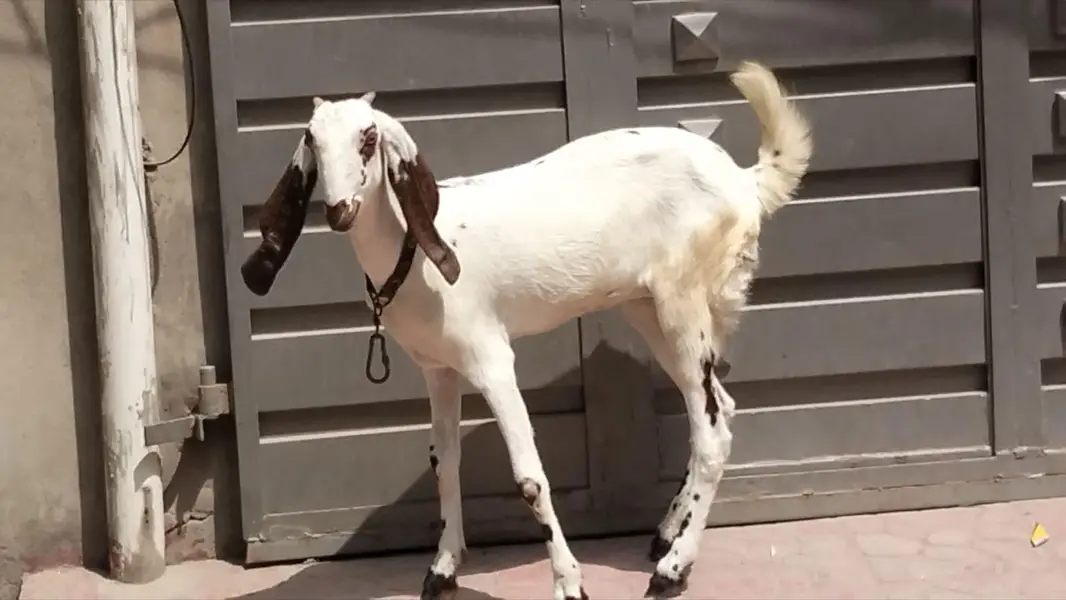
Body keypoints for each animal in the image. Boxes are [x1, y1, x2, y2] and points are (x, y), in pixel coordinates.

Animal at [241, 61, 812, 600]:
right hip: (647, 308)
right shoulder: (438, 368)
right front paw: (442, 570)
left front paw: (569, 583)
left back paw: (672, 570)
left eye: (369, 137)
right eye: (312, 140)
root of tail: (745, 180)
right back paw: (668, 531)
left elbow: (530, 478)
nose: (340, 210)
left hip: (683, 301)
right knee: (719, 407)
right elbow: (444, 462)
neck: (415, 250)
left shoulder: (492, 359)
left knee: (713, 429)